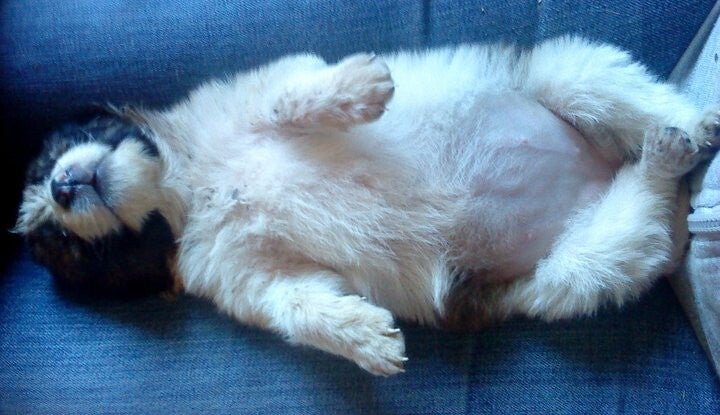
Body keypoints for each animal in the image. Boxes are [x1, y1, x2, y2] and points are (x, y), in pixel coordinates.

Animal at [15, 36, 720, 376]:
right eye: (67, 247)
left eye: (53, 152)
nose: (62, 189)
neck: (192, 186)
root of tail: (599, 170)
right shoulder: (253, 278)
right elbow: (298, 306)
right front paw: (363, 339)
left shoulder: (267, 85)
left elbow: (285, 100)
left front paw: (360, 85)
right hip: (580, 267)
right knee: (646, 215)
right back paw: (661, 165)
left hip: (571, 75)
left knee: (638, 105)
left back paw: (692, 125)